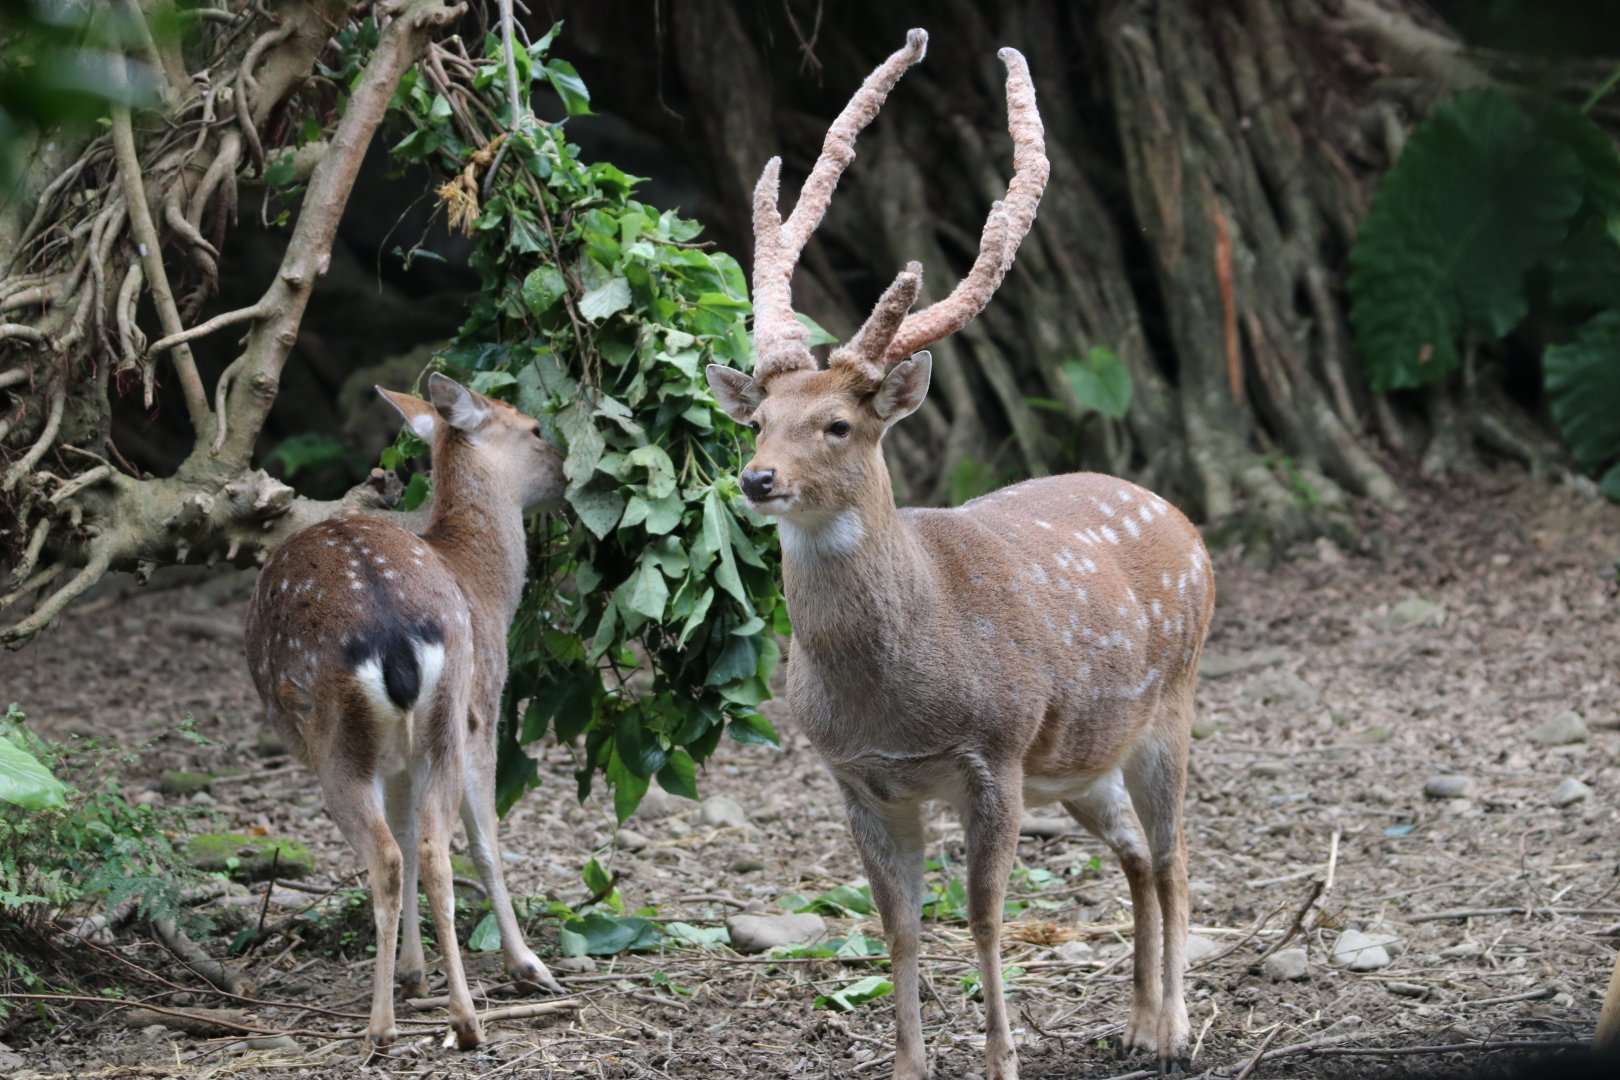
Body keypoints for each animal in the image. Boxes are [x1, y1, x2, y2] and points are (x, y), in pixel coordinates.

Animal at [244, 373, 566, 1055]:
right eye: (533, 428)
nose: (567, 470)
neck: (488, 590)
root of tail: (392, 634)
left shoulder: (454, 725)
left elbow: (460, 838)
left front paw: (430, 971)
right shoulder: (481, 709)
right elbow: (480, 838)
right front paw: (505, 966)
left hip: (350, 740)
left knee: (394, 854)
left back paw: (391, 1024)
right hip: (431, 725)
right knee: (423, 847)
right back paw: (454, 1019)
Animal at [704, 30, 1213, 1080]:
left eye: (840, 424)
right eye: (759, 421)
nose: (757, 480)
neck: (893, 693)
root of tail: (1182, 519)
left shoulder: (995, 752)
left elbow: (981, 920)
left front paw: (1002, 1059)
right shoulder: (857, 777)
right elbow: (897, 927)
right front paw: (907, 1064)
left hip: (1169, 705)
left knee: (1178, 854)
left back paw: (1176, 1029)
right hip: (1083, 760)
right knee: (1135, 856)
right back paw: (1136, 1023)